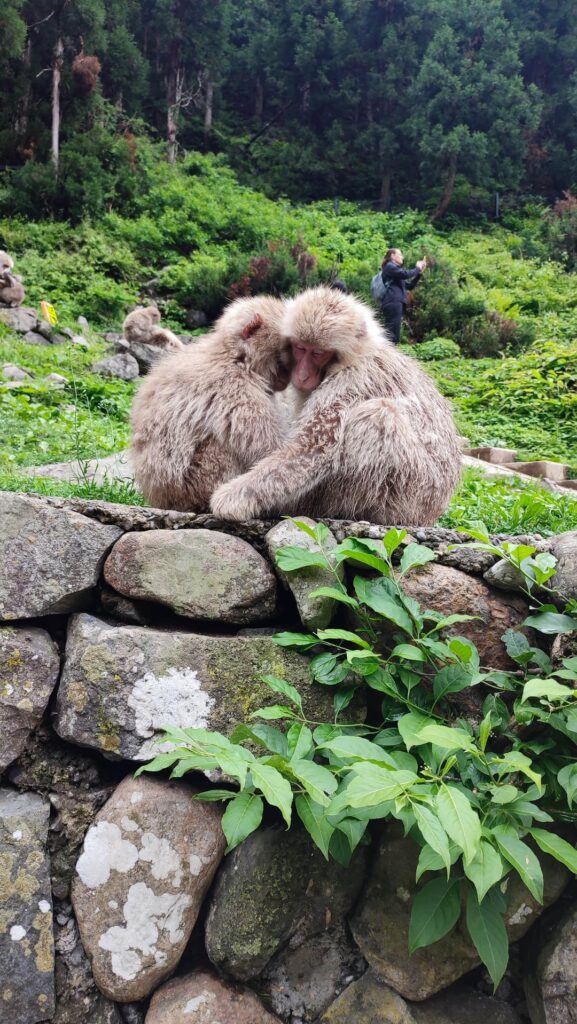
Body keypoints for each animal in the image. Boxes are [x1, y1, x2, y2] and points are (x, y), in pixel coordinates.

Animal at [130, 295, 291, 512]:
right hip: (197, 483)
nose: (289, 376)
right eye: (286, 354)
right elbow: (268, 453)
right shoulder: (239, 391)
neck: (236, 358)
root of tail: (162, 500)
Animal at [210, 286, 461, 526]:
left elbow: (313, 448)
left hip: (410, 494)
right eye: (300, 348)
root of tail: (431, 514)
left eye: (318, 353)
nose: (302, 375)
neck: (352, 357)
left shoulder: (352, 379)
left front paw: (232, 498)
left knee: (379, 415)